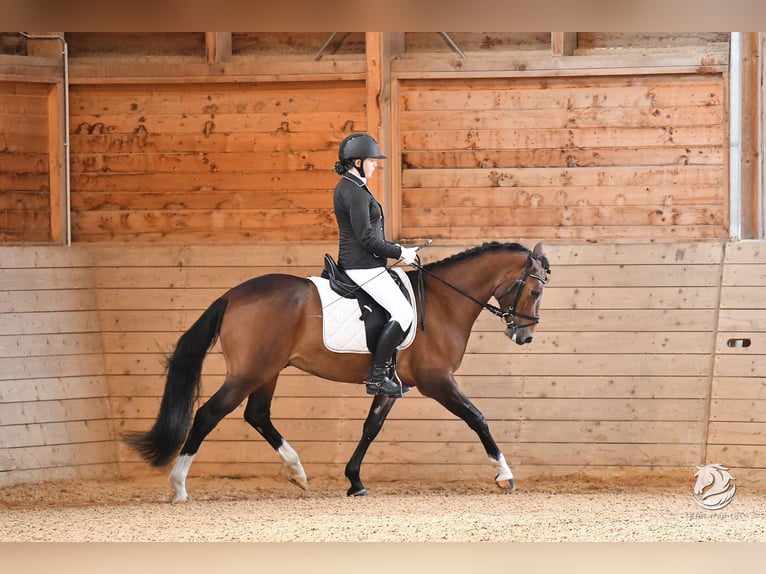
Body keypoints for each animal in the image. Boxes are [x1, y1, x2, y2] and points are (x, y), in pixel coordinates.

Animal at [126, 241, 548, 502]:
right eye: (535, 291)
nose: (524, 335)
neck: (444, 302)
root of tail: (232, 295)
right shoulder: (437, 381)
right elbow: (477, 417)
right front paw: (504, 474)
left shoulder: (394, 385)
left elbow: (370, 428)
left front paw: (355, 481)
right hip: (250, 372)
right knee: (209, 414)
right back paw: (179, 486)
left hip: (268, 370)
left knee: (257, 414)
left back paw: (297, 471)